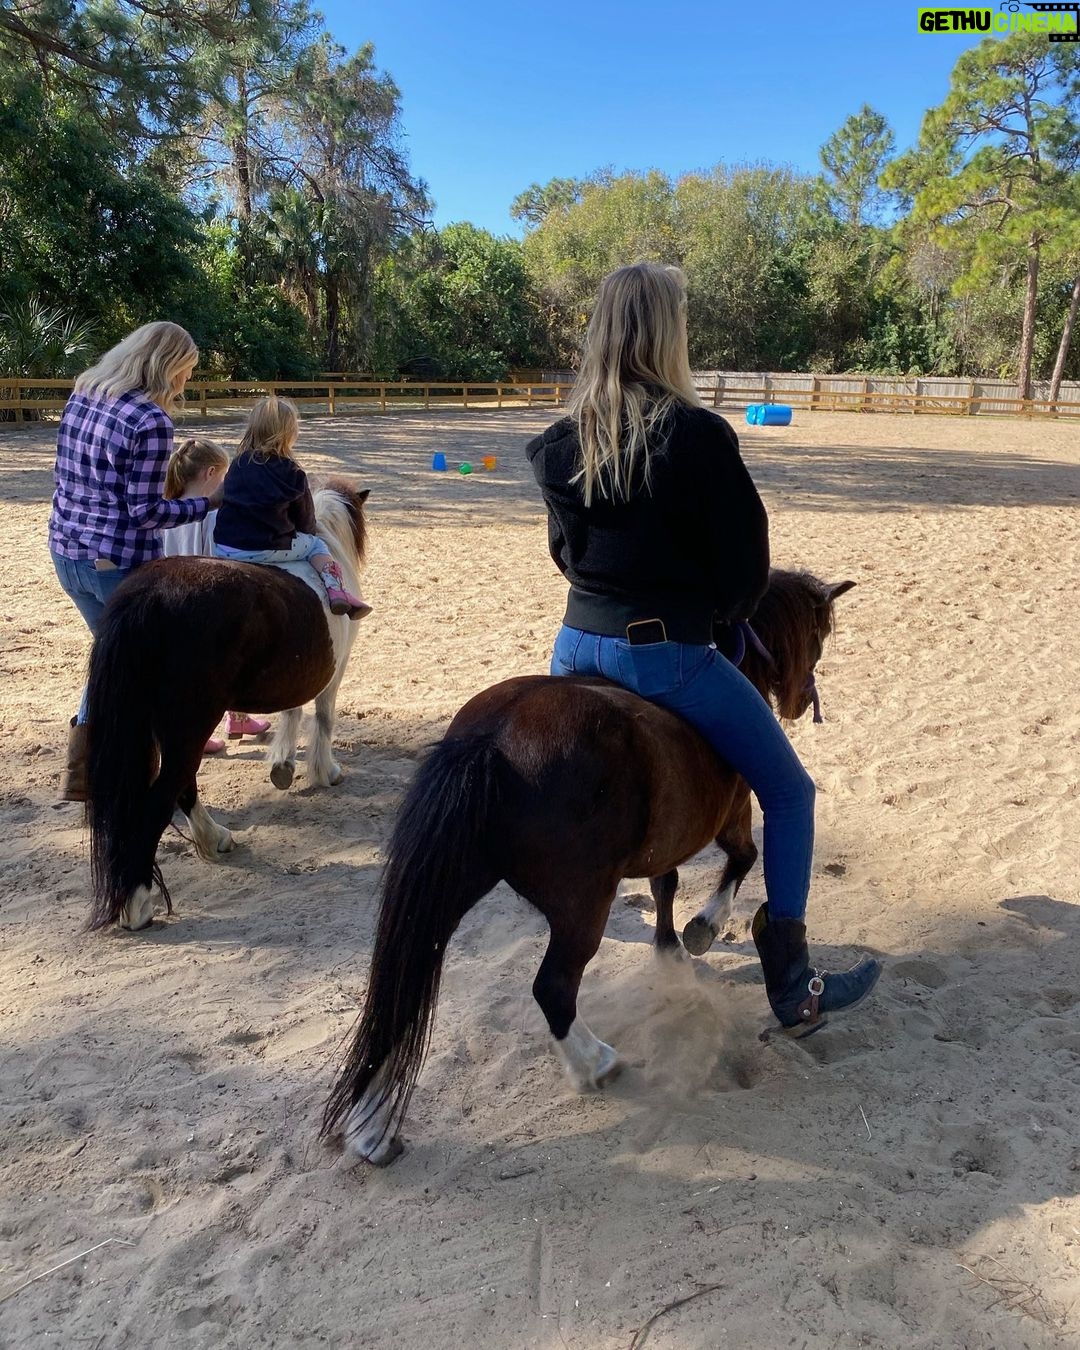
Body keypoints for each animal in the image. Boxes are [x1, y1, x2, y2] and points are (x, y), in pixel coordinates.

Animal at [85, 480, 370, 933]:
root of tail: (151, 596)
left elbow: (292, 712)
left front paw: (284, 767)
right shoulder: (333, 674)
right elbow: (321, 718)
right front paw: (325, 772)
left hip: (167, 726)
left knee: (182, 786)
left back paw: (214, 838)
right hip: (192, 721)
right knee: (161, 797)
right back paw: (137, 905)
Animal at [321, 568, 854, 1165]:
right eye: (818, 635)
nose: (798, 702)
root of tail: (490, 739)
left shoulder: (663, 844)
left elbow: (665, 884)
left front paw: (671, 949)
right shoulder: (736, 813)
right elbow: (743, 859)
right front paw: (703, 929)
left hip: (451, 885)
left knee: (403, 989)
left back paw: (370, 1127)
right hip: (582, 907)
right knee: (552, 988)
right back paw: (595, 1063)